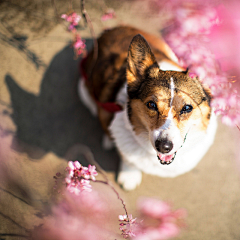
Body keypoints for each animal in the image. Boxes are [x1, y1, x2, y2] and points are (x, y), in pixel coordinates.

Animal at [79, 26, 218, 190]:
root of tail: (109, 30)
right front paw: (129, 174)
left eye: (187, 108)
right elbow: (127, 158)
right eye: (151, 105)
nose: (164, 147)